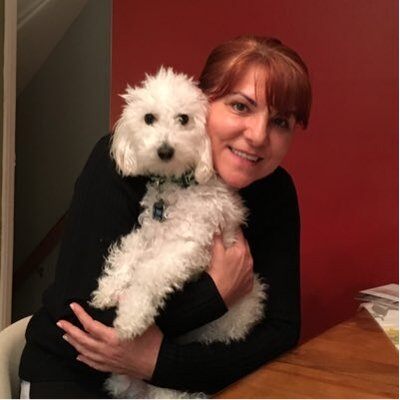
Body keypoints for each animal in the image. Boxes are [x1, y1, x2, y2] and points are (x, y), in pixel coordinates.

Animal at [90, 67, 266, 398]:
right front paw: (108, 289)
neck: (178, 187)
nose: (165, 150)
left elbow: (148, 275)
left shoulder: (186, 246)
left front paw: (130, 317)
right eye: (149, 118)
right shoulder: (148, 234)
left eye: (184, 119)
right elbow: (127, 255)